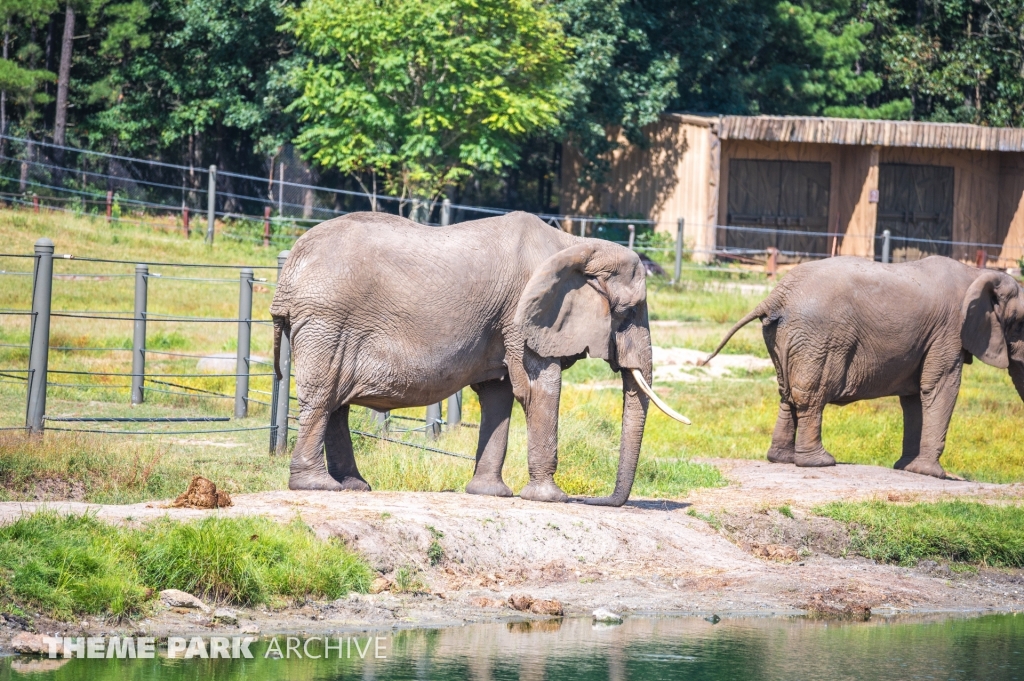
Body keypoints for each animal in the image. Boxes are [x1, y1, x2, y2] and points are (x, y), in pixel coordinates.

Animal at [270, 213, 688, 503]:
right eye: (628, 311)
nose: (597, 500)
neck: (574, 244)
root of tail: (289, 269)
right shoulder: (521, 318)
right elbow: (539, 388)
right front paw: (553, 499)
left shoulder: (504, 326)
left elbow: (498, 395)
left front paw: (491, 494)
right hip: (326, 319)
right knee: (323, 396)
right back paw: (319, 486)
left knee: (335, 402)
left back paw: (354, 487)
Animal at [704, 254, 1024, 477]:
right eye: (1021, 323)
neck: (977, 274)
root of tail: (776, 295)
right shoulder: (948, 332)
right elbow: (939, 386)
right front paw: (931, 474)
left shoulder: (930, 338)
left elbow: (914, 398)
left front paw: (906, 468)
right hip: (820, 337)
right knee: (810, 395)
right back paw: (820, 463)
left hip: (783, 336)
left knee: (787, 393)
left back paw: (783, 459)